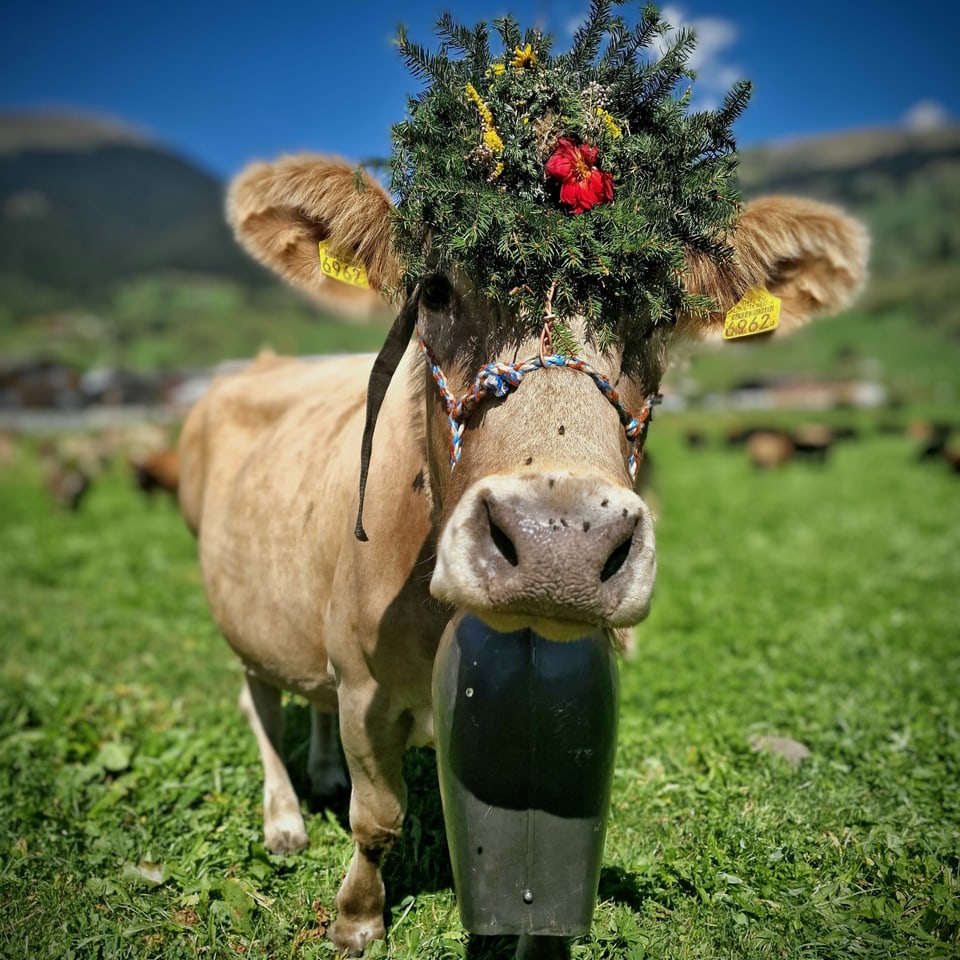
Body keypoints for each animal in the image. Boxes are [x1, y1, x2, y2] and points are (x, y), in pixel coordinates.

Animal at [174, 146, 872, 956]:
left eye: (661, 312)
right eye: (436, 292)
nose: (558, 543)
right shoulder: (362, 683)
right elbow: (377, 818)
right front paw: (356, 919)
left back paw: (318, 774)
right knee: (256, 699)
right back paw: (284, 818)